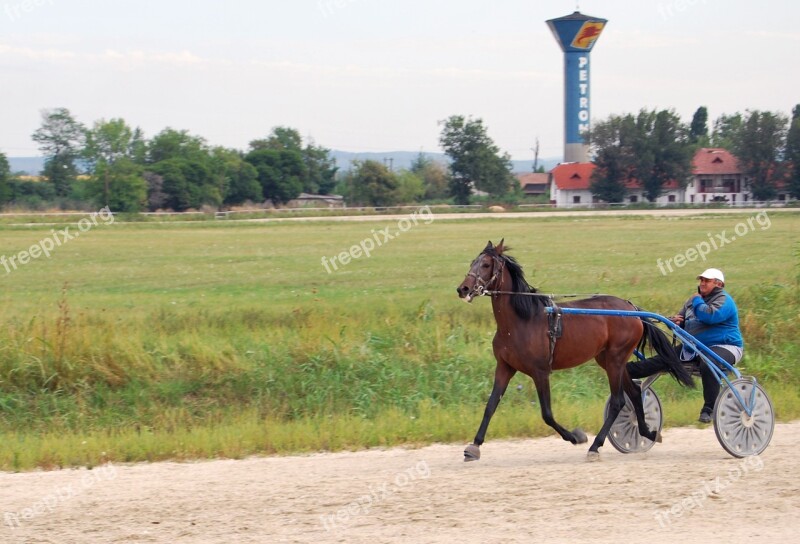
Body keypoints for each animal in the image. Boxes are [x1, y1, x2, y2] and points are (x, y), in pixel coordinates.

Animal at [456, 241, 692, 460]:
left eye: (486, 264)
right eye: (472, 262)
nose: (463, 289)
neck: (520, 321)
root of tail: (631, 308)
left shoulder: (540, 372)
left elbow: (547, 414)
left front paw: (576, 436)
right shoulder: (504, 367)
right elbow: (490, 405)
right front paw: (474, 446)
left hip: (615, 358)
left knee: (618, 401)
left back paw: (596, 446)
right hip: (609, 359)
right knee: (633, 392)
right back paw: (648, 432)